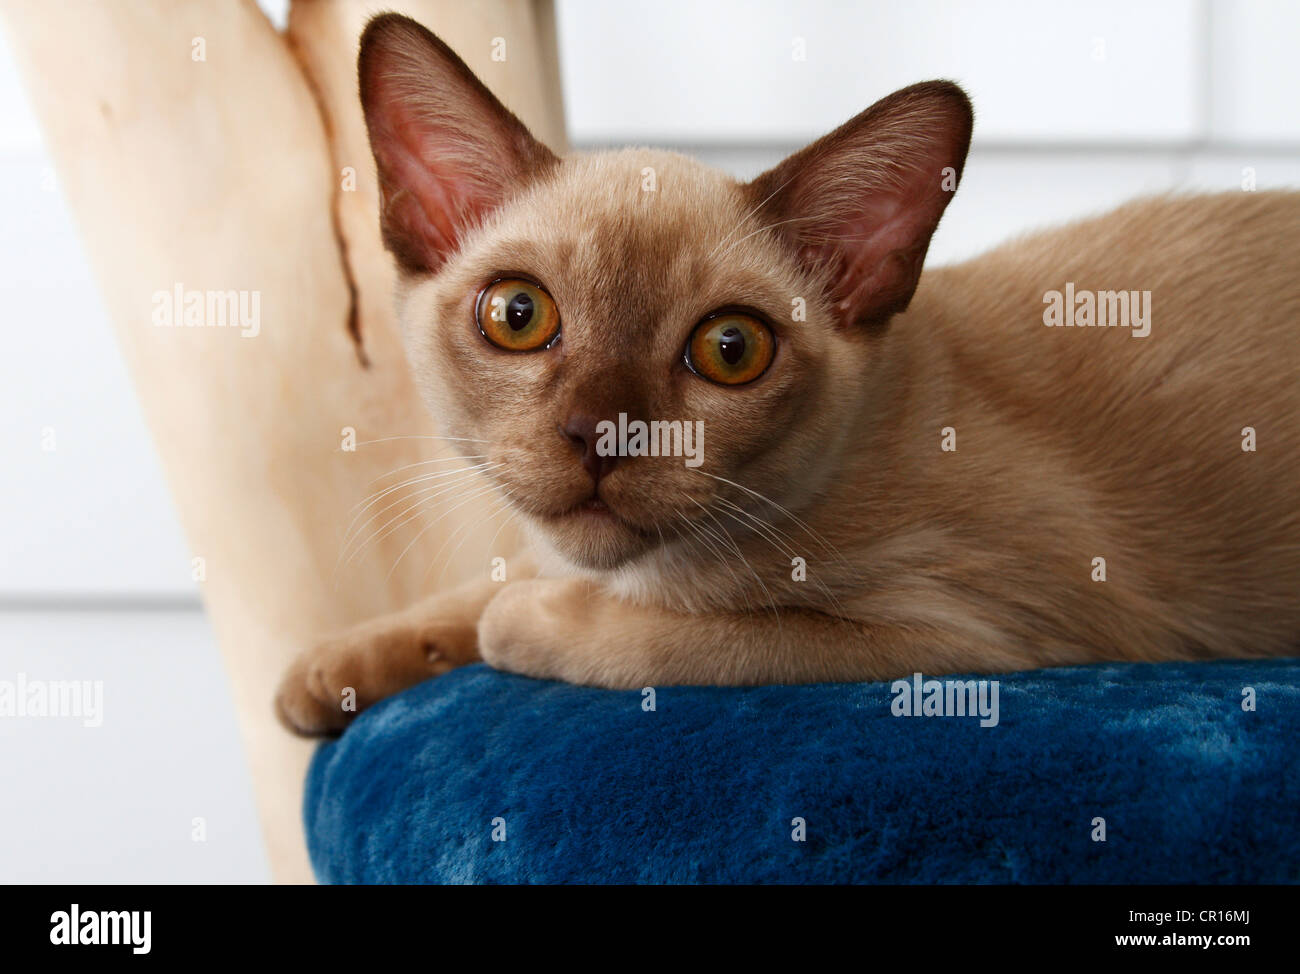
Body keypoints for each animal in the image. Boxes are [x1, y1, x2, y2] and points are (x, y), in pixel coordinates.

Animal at [269, 13, 1294, 738]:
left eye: (731, 350)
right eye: (519, 317)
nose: (602, 434)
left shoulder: (959, 630)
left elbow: (651, 634)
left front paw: (522, 622)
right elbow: (478, 586)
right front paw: (326, 676)